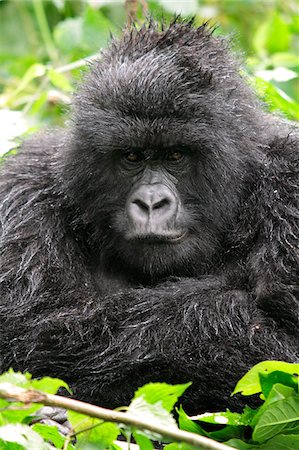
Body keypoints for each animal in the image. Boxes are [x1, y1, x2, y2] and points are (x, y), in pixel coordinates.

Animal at [0, 19, 299, 414]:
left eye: (175, 156)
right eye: (131, 157)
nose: (152, 202)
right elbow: (32, 330)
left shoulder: (290, 180)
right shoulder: (25, 189)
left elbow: (283, 343)